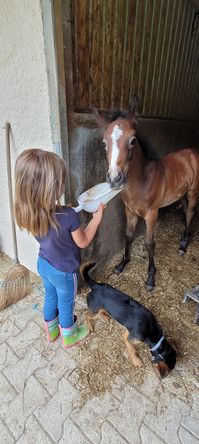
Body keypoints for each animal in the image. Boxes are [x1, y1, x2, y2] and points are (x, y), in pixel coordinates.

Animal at [94, 96, 199, 290]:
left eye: (133, 140)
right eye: (104, 143)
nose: (115, 179)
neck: (141, 182)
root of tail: (192, 152)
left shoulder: (151, 214)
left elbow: (150, 244)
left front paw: (150, 277)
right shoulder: (129, 211)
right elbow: (128, 236)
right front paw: (122, 263)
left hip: (193, 192)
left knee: (190, 213)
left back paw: (183, 244)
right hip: (181, 192)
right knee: (185, 208)